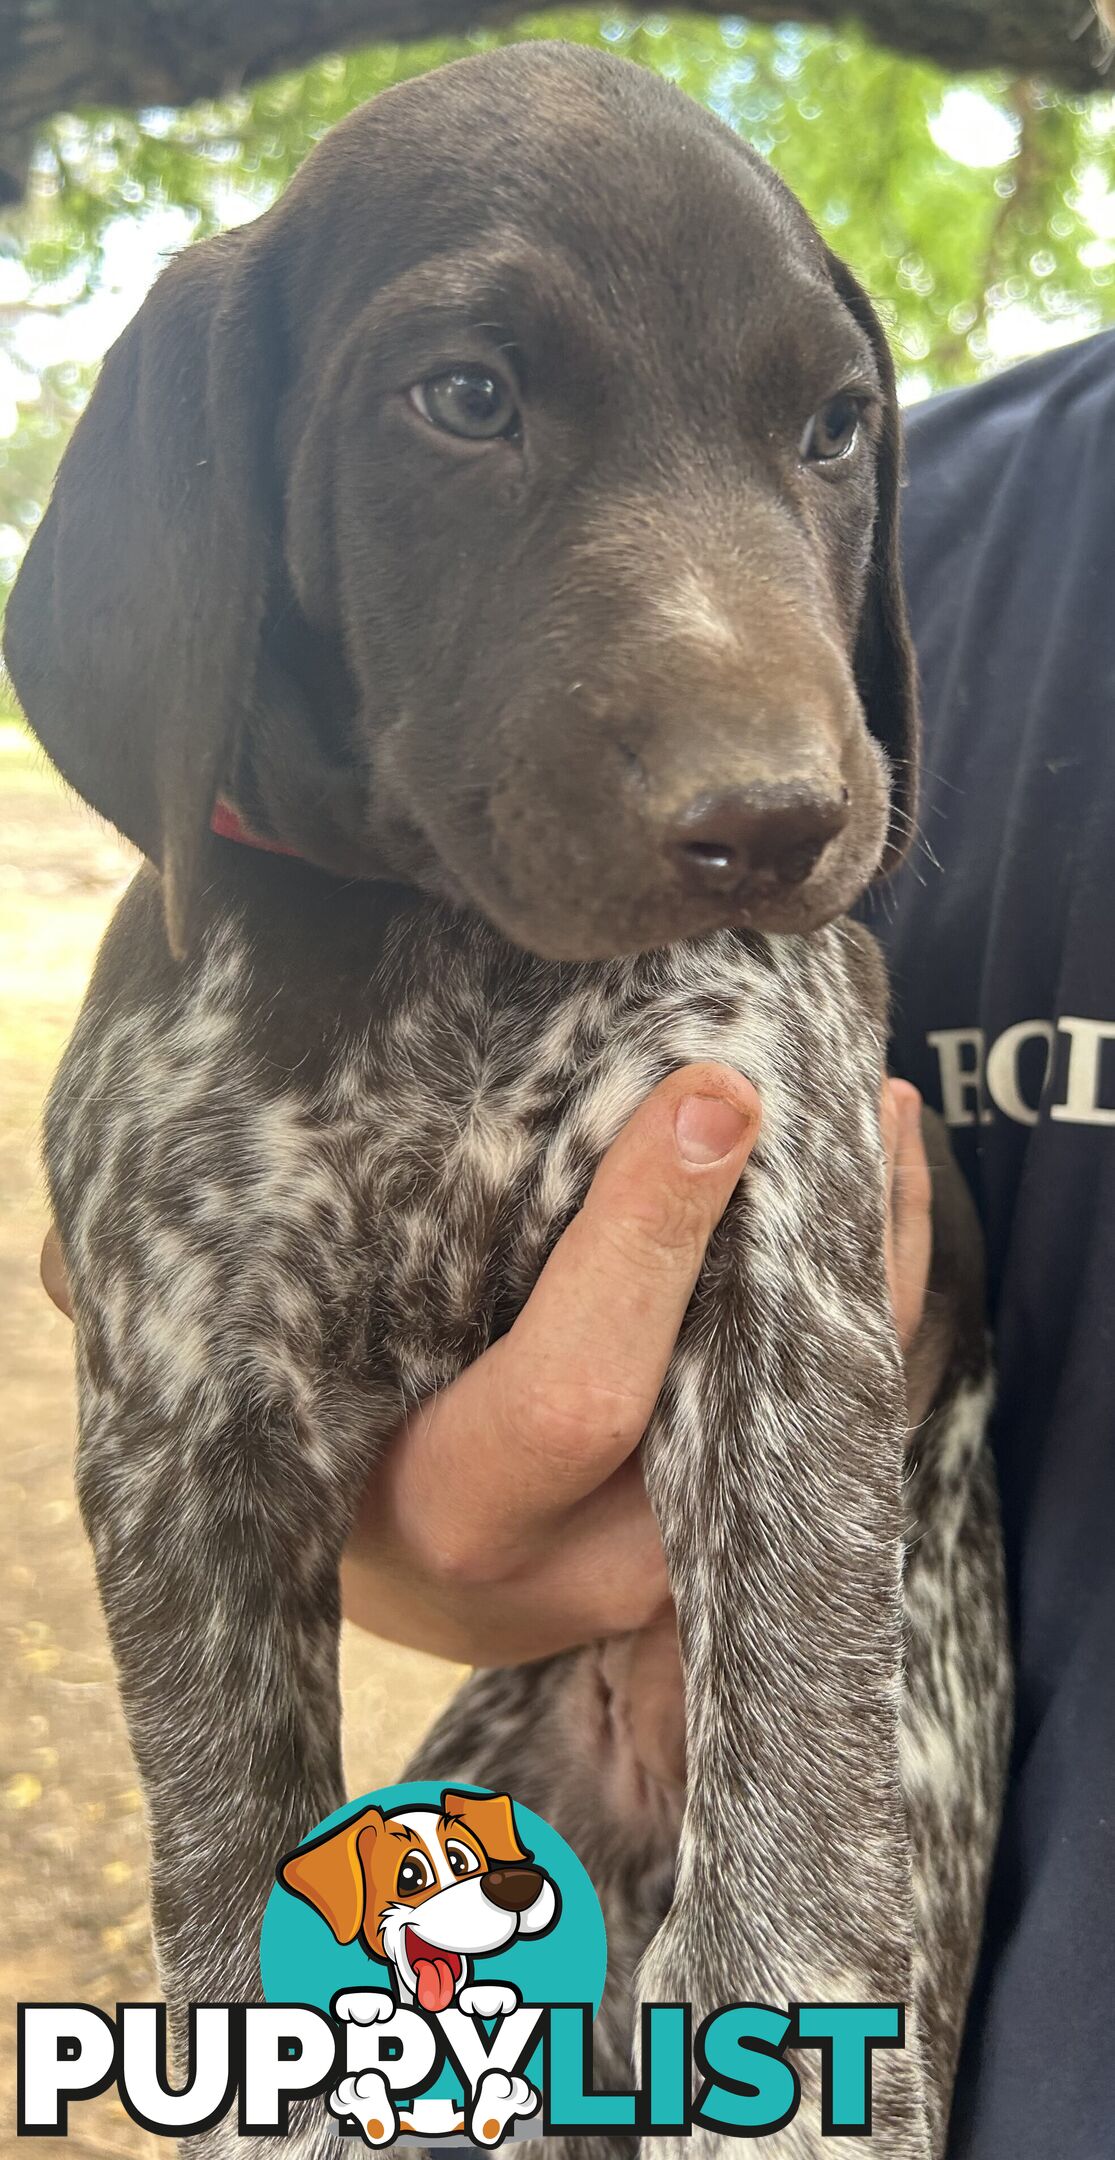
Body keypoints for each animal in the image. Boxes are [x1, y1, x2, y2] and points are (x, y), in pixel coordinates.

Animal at [4, 33, 1011, 2160]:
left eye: (836, 429)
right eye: (463, 399)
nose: (779, 824)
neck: (441, 949)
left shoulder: (785, 1280)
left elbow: (801, 1841)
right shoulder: (183, 1419)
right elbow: (235, 1879)